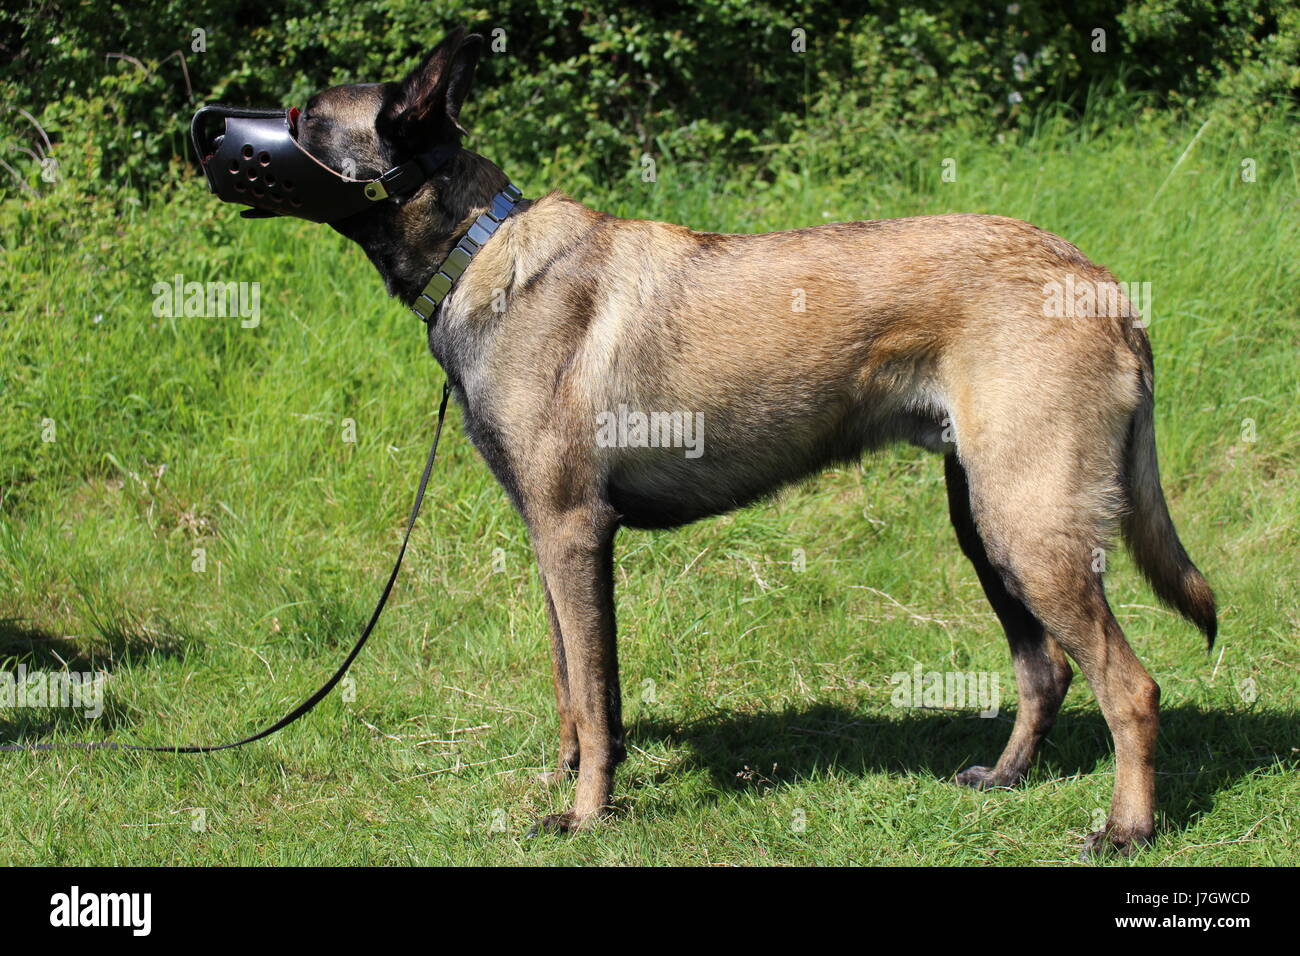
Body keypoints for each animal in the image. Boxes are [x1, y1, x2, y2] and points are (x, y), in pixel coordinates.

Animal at [276, 29, 1216, 858]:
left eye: (306, 115)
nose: (243, 122)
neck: (479, 247)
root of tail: (1102, 285)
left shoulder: (574, 532)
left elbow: (595, 698)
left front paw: (586, 816)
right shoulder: (546, 537)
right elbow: (572, 689)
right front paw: (569, 779)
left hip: (1030, 528)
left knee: (1132, 689)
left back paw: (1127, 829)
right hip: (987, 524)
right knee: (1045, 669)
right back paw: (1007, 777)